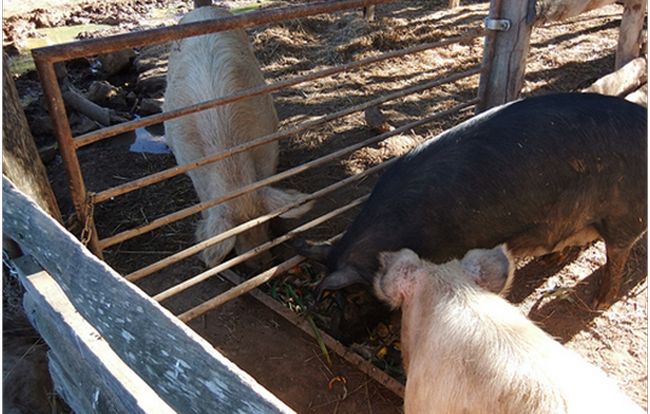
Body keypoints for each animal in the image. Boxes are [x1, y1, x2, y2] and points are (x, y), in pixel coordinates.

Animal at [165, 6, 312, 266]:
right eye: (238, 233)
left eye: (263, 219)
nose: (262, 263)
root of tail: (202, 9)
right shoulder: (189, 162)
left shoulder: (268, 142)